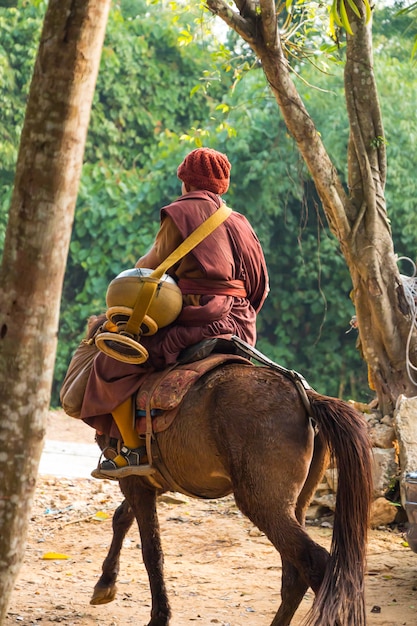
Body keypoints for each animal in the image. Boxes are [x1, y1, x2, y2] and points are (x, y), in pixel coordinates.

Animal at [87, 338, 370, 626]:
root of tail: (308, 400)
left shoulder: (134, 480)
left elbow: (151, 550)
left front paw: (159, 617)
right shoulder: (149, 480)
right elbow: (122, 517)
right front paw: (105, 584)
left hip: (264, 504)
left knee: (317, 566)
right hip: (295, 504)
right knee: (294, 575)